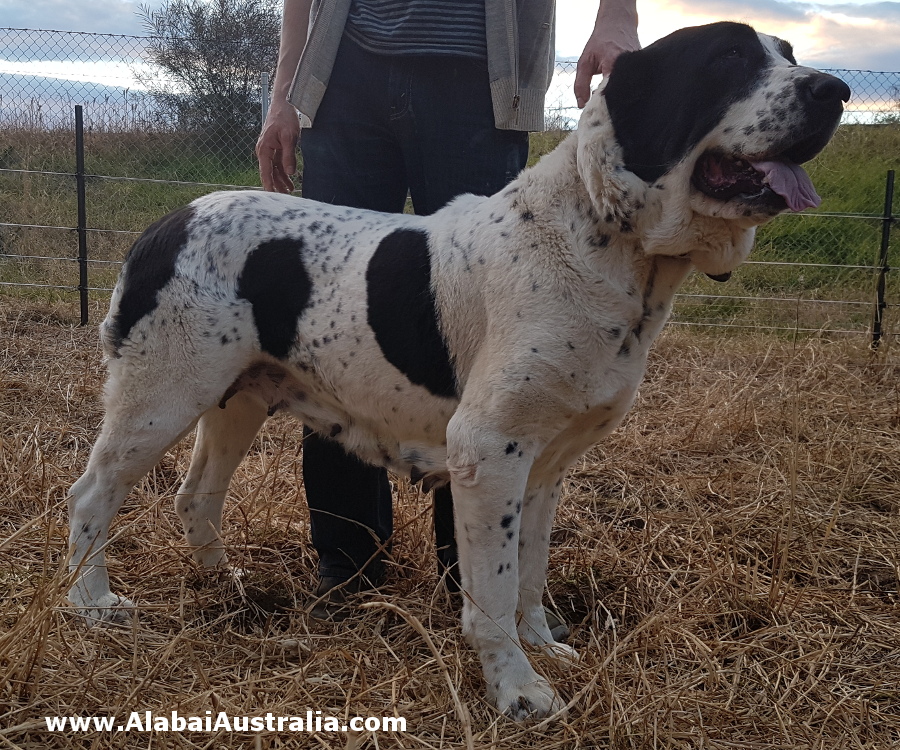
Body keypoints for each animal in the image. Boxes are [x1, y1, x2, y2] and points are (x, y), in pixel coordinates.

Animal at [68, 23, 844, 724]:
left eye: (788, 54)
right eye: (728, 59)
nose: (834, 90)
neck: (607, 242)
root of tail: (166, 224)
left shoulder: (545, 463)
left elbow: (529, 575)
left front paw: (544, 646)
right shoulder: (489, 450)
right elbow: (494, 591)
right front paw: (518, 689)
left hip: (237, 402)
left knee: (195, 496)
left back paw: (225, 585)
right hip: (160, 397)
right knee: (91, 494)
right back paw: (92, 604)